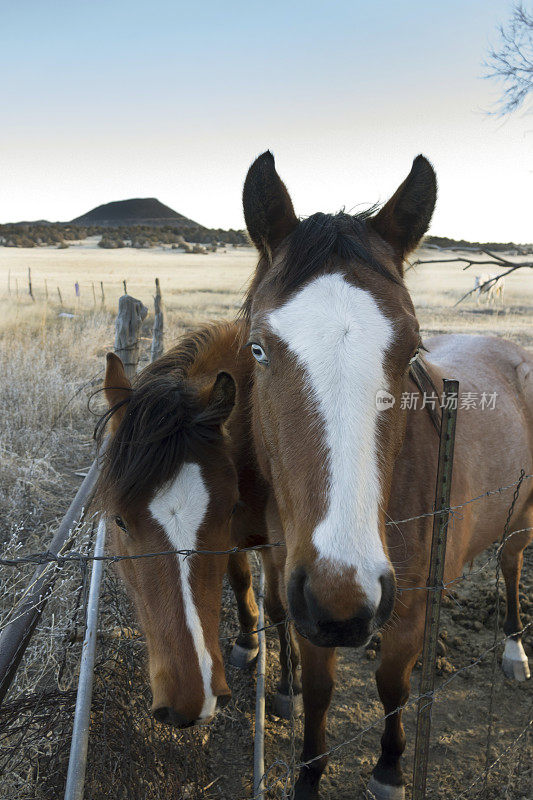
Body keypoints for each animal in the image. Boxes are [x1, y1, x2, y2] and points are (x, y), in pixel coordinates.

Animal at [97, 324, 302, 732]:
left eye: (228, 508)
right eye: (119, 520)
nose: (194, 701)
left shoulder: (277, 545)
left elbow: (278, 606)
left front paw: (289, 688)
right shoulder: (234, 540)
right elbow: (240, 581)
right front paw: (247, 643)